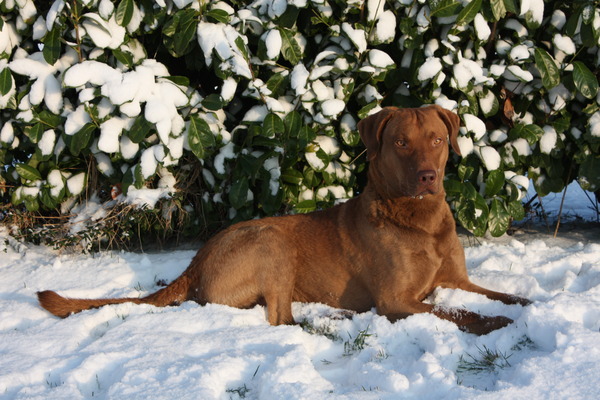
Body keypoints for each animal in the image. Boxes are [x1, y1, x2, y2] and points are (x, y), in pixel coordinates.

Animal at [37, 105, 528, 334]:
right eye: (401, 143)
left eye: (438, 139)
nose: (428, 176)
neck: (418, 218)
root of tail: (196, 261)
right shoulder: (397, 300)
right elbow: (456, 310)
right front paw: (497, 324)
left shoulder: (457, 278)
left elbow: (495, 294)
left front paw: (528, 304)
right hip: (272, 242)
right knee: (281, 319)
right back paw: (334, 319)